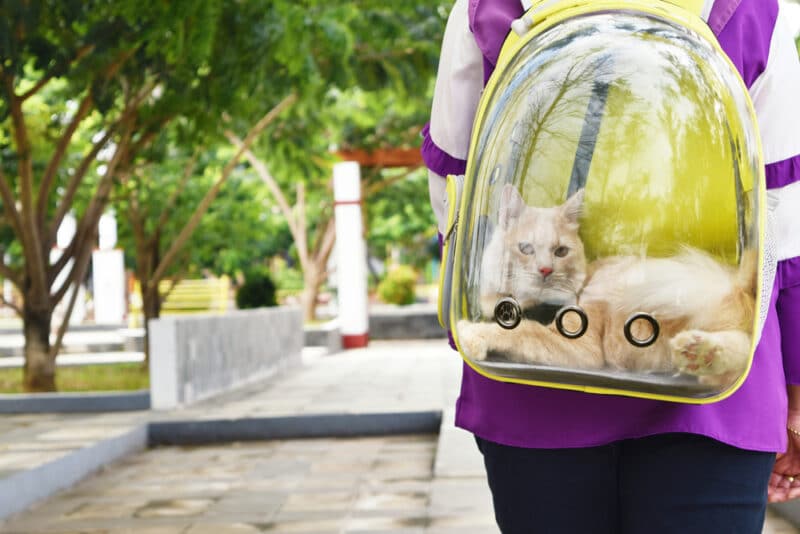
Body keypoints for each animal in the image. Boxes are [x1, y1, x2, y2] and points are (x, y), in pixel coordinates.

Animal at [456, 186, 756, 388]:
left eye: (561, 251)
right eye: (526, 248)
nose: (545, 270)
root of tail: (738, 281)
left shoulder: (578, 346)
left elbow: (519, 331)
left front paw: (472, 334)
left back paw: (701, 352)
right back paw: (700, 355)